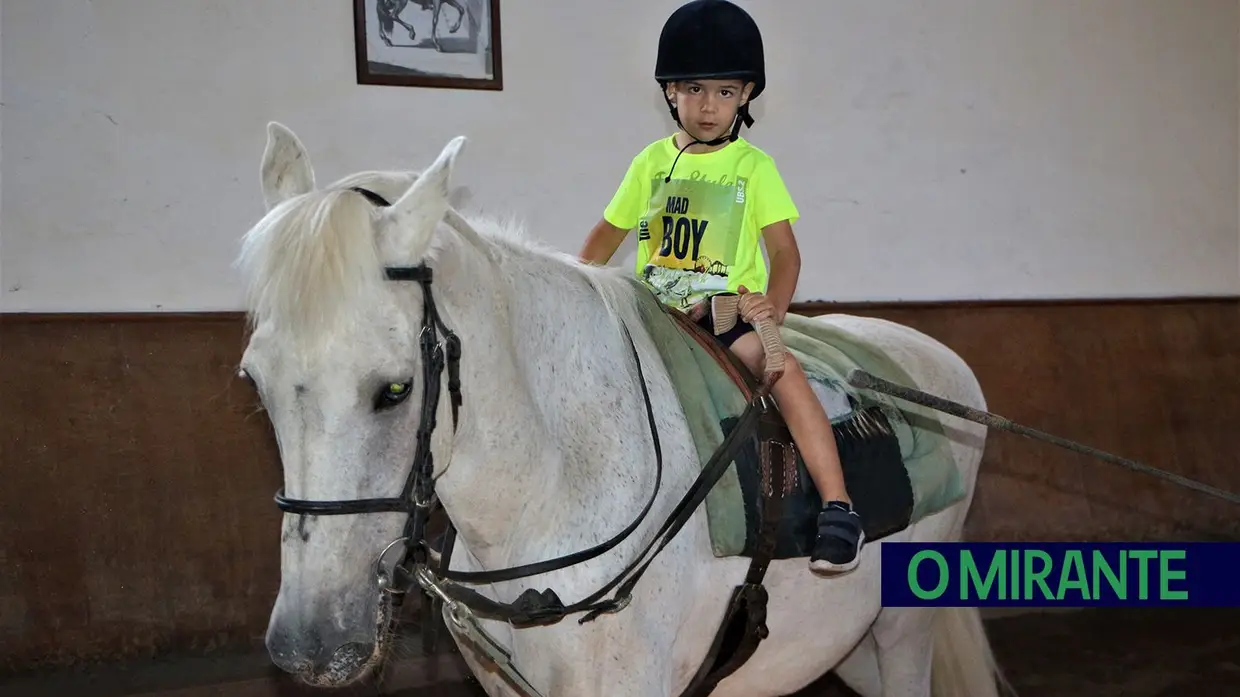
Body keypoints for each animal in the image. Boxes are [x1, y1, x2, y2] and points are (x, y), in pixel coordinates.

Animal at [234, 124, 1006, 694]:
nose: (310, 643)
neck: (554, 481)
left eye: (393, 389)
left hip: (901, 629)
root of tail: (941, 361)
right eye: (255, 381)